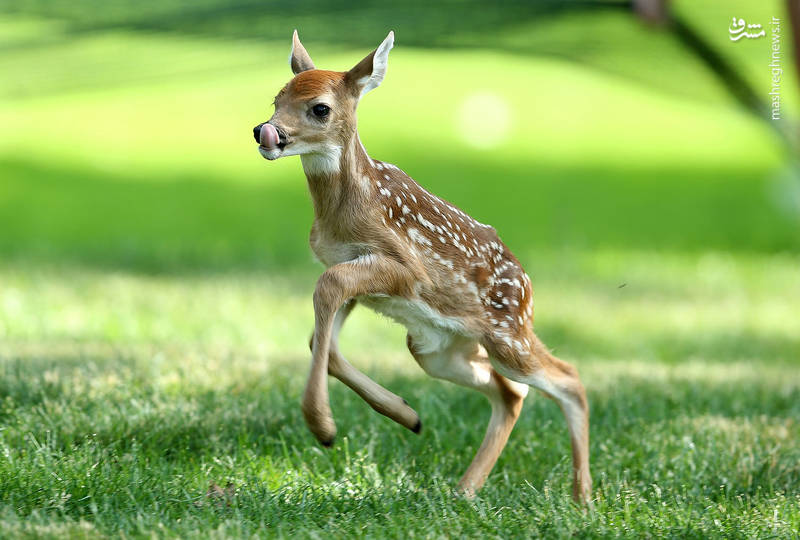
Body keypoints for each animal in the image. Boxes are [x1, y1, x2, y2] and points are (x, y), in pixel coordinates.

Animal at [253, 30, 592, 502]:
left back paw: (583, 498)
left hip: (508, 334)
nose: (266, 132)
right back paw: (465, 489)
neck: (346, 209)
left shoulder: (405, 268)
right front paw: (405, 414)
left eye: (320, 107)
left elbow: (327, 289)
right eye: (277, 99)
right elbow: (323, 339)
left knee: (567, 378)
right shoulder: (354, 270)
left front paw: (322, 426)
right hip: (437, 348)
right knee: (511, 392)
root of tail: (527, 284)